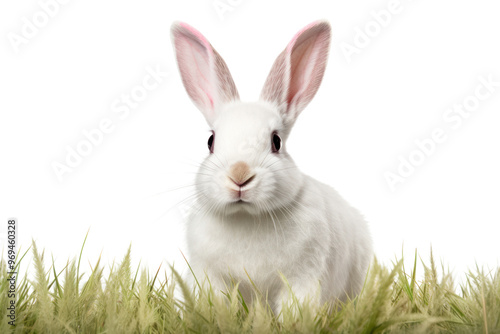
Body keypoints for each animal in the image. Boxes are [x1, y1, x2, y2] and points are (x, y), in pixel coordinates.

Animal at [171, 20, 372, 314]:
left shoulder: (303, 277)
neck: (247, 217)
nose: (239, 175)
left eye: (276, 141)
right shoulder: (210, 275)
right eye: (211, 141)